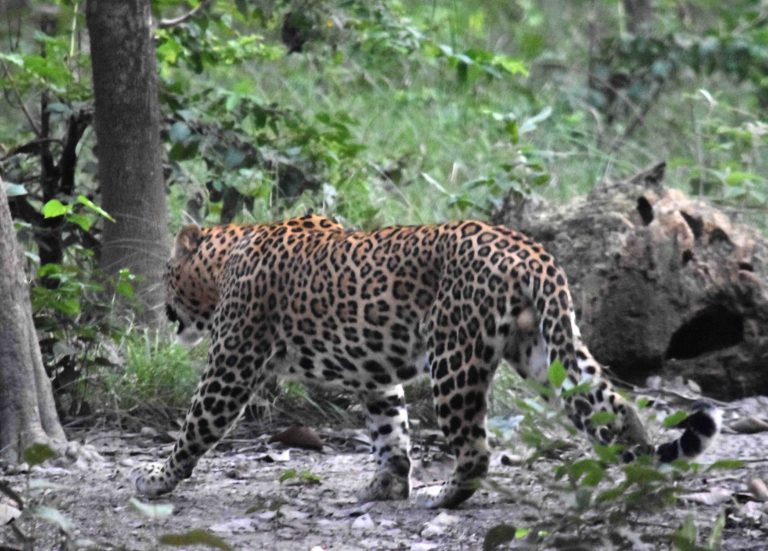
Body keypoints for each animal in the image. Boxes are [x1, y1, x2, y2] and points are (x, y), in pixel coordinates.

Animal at [131, 214, 721, 508]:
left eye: (166, 272)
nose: (159, 300)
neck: (227, 255)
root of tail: (532, 251)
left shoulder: (232, 363)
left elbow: (196, 426)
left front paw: (157, 478)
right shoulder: (376, 374)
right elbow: (390, 430)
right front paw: (386, 486)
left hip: (454, 360)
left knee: (477, 448)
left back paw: (445, 497)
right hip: (543, 352)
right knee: (614, 407)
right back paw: (644, 478)